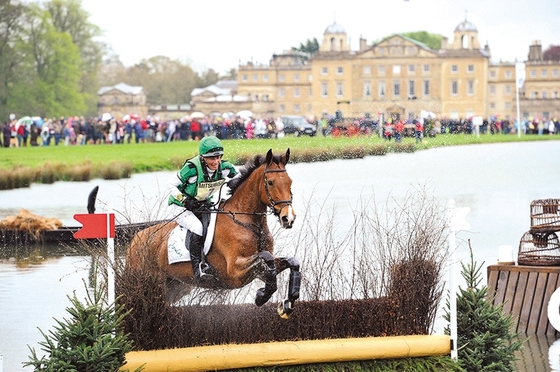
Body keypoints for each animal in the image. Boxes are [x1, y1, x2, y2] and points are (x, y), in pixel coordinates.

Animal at [127, 150, 302, 318]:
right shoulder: (235, 272)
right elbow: (267, 257)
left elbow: (291, 262)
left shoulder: (258, 271)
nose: (288, 218)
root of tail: (135, 240)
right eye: (270, 182)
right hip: (149, 285)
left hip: (175, 286)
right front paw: (261, 296)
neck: (249, 224)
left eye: (290, 182)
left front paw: (287, 303)